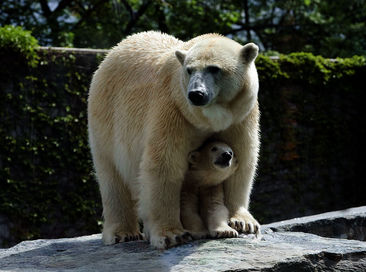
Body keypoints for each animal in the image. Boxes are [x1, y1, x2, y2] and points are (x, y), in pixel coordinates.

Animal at [88, 31, 260, 249]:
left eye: (214, 68)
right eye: (189, 70)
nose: (196, 94)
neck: (207, 119)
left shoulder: (241, 118)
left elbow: (243, 161)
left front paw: (243, 222)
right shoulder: (173, 112)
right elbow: (164, 165)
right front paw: (172, 235)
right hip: (107, 118)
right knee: (111, 175)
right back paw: (122, 233)